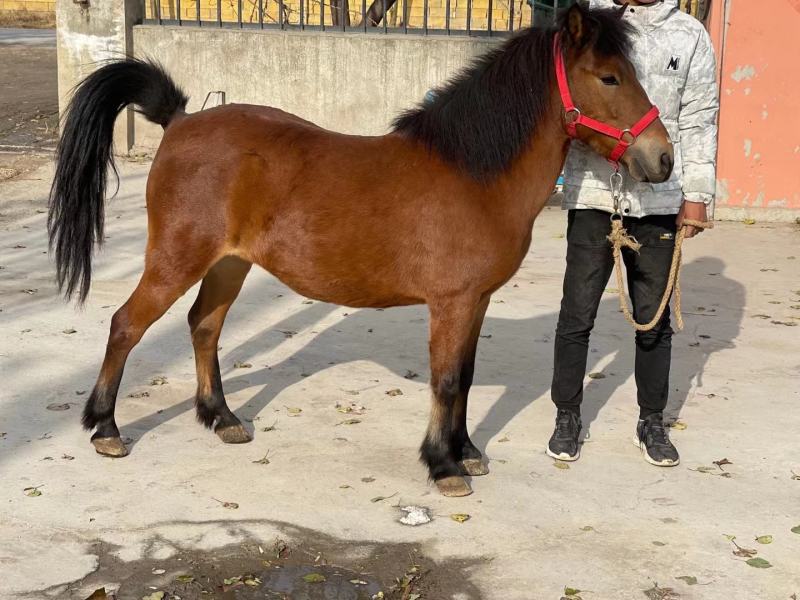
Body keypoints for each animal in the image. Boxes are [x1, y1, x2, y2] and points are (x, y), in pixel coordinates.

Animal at [48, 3, 673, 497]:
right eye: (609, 78)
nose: (662, 158)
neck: (473, 174)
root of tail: (180, 120)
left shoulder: (475, 302)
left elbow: (466, 377)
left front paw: (467, 452)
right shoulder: (452, 303)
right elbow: (447, 380)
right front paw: (444, 466)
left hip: (229, 264)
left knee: (203, 325)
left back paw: (222, 418)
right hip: (176, 259)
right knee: (127, 324)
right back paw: (106, 429)